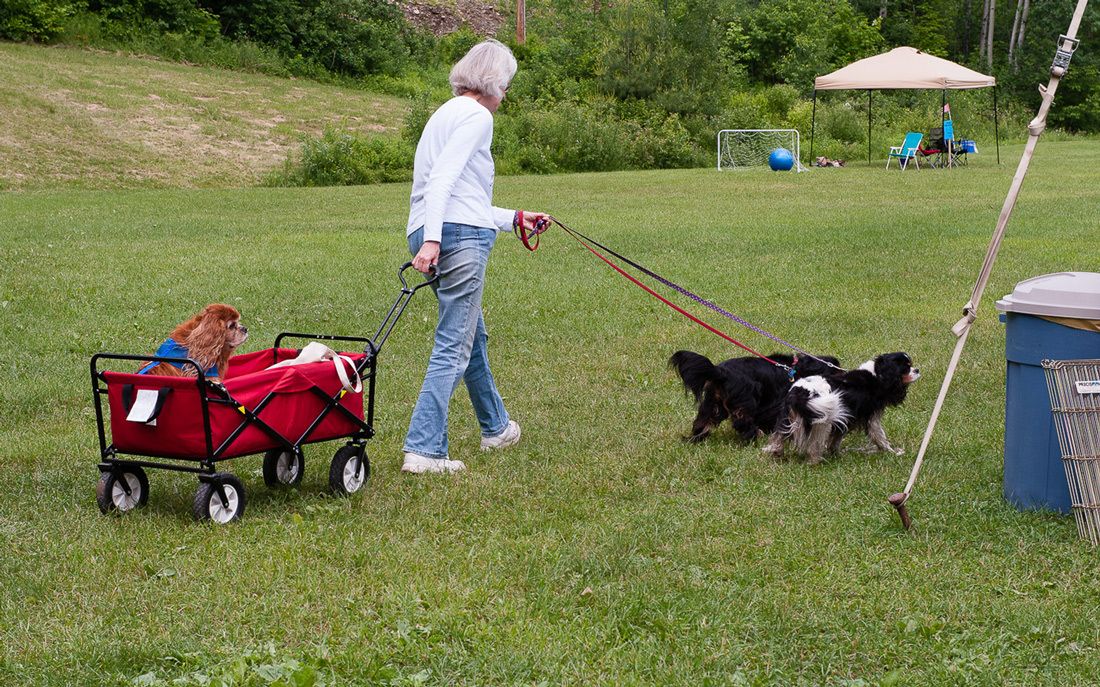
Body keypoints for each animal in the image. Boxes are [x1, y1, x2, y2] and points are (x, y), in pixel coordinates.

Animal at [668, 351, 840, 441]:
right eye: (834, 370)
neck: (795, 368)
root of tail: (721, 372)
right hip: (745, 401)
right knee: (742, 423)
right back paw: (755, 435)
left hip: (712, 402)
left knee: (702, 420)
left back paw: (696, 437)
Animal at [756, 353, 919, 461]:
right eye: (906, 368)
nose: (917, 370)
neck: (877, 374)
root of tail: (800, 391)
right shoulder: (871, 417)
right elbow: (879, 435)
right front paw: (891, 451)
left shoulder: (845, 419)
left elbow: (836, 439)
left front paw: (836, 453)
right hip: (822, 420)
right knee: (814, 445)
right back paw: (815, 460)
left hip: (789, 417)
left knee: (779, 437)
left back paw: (774, 451)